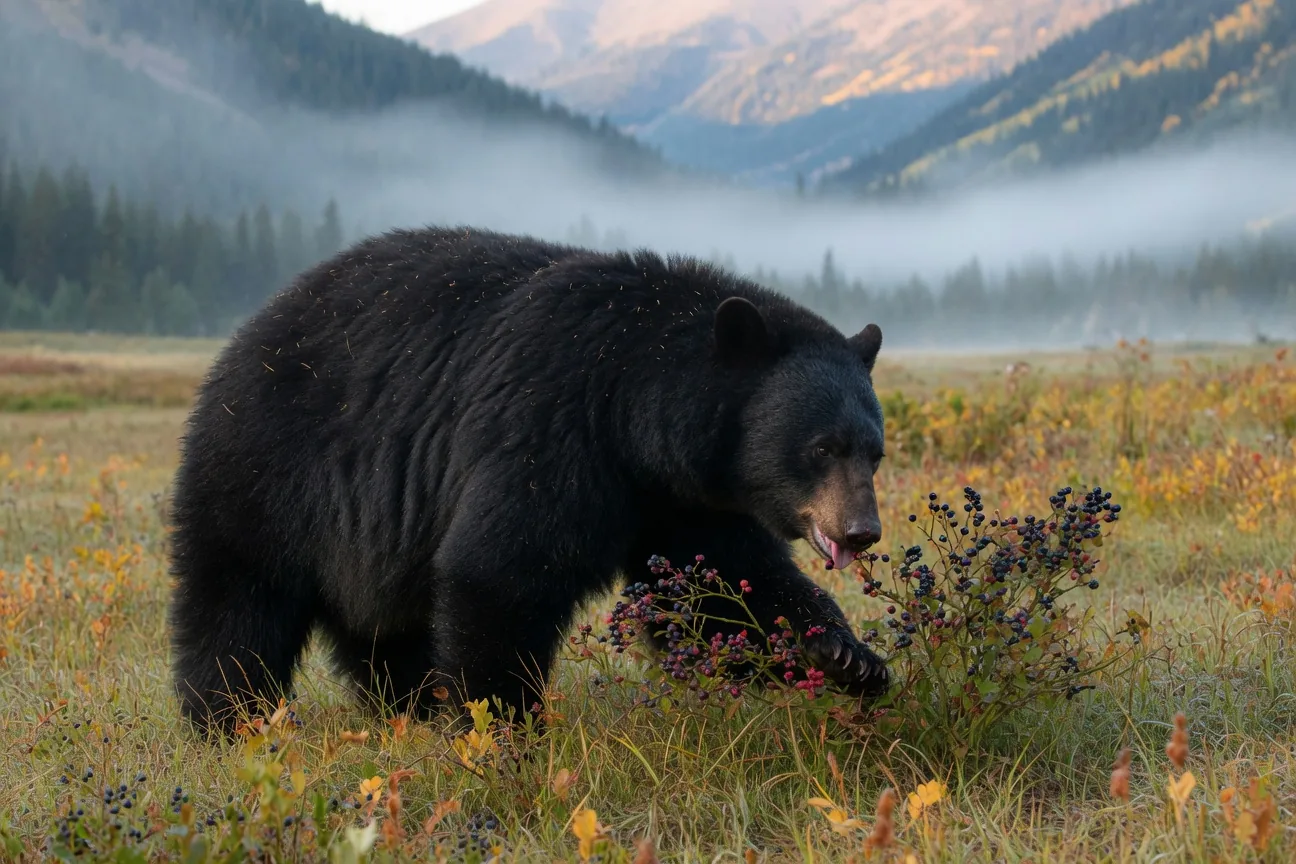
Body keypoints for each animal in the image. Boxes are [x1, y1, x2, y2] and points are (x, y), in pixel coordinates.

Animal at [167, 226, 891, 732]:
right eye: (822, 447)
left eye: (875, 452)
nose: (862, 531)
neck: (634, 402)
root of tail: (245, 335)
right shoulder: (550, 423)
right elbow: (501, 570)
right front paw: (504, 726)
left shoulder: (679, 497)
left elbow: (717, 591)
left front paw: (849, 656)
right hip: (265, 468)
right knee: (237, 604)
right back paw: (229, 721)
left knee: (384, 629)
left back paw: (410, 707)